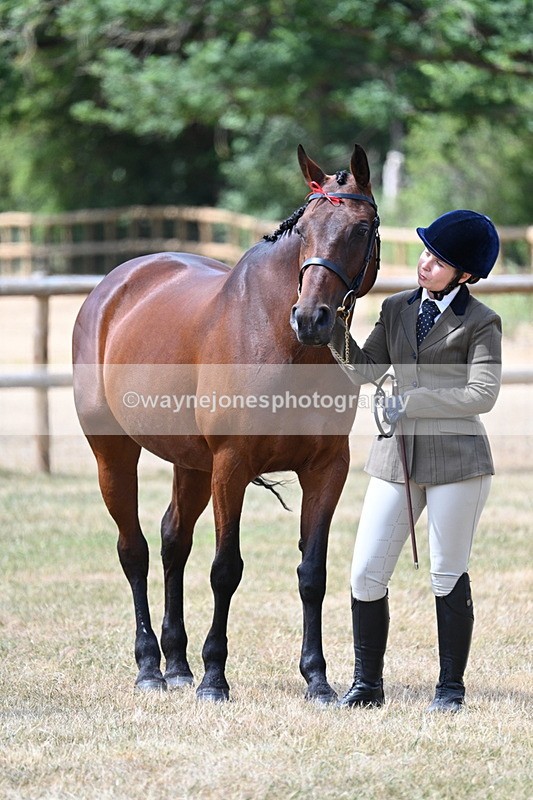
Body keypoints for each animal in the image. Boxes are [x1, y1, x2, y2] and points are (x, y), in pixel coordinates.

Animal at [72, 143, 380, 703]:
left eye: (361, 229)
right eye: (305, 229)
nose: (312, 319)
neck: (281, 344)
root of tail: (112, 287)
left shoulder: (327, 468)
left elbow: (312, 572)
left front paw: (318, 679)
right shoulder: (231, 466)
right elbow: (225, 570)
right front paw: (215, 677)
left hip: (191, 464)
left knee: (173, 540)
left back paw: (176, 663)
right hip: (115, 454)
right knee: (134, 550)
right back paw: (150, 667)